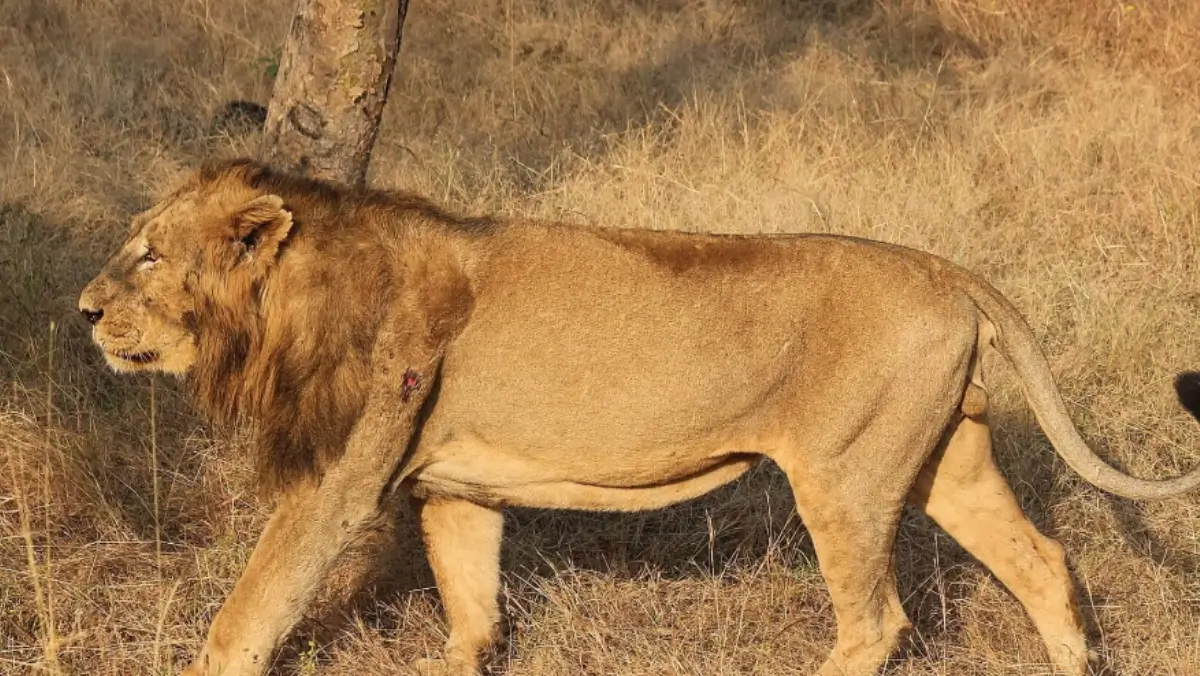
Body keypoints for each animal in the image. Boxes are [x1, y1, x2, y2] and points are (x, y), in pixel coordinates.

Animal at [78, 158, 1200, 676]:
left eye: (148, 254)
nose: (84, 310)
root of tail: (948, 269)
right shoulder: (456, 487)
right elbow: (472, 609)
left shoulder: (335, 480)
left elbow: (251, 608)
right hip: (945, 460)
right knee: (1042, 560)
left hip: (842, 476)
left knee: (878, 621)